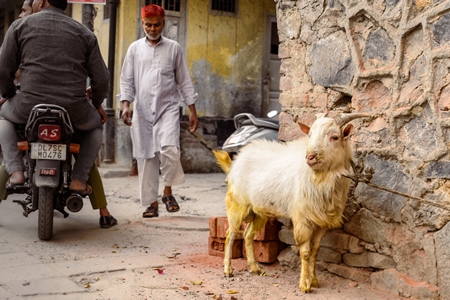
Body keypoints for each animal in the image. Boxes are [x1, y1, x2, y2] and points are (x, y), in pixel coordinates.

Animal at [213, 113, 370, 292]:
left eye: (335, 137)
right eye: (310, 135)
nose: (310, 157)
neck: (320, 179)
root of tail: (235, 161)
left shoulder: (322, 222)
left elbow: (315, 250)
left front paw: (314, 280)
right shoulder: (302, 219)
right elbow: (305, 252)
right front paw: (305, 285)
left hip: (259, 211)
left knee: (248, 234)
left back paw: (255, 268)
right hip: (237, 204)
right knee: (230, 234)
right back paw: (227, 270)